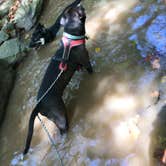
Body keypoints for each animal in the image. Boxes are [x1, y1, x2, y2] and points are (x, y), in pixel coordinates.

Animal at [23, 0, 92, 156]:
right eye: (77, 10)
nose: (79, 4)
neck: (71, 40)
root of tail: (38, 105)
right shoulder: (86, 60)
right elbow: (91, 69)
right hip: (59, 115)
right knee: (63, 128)